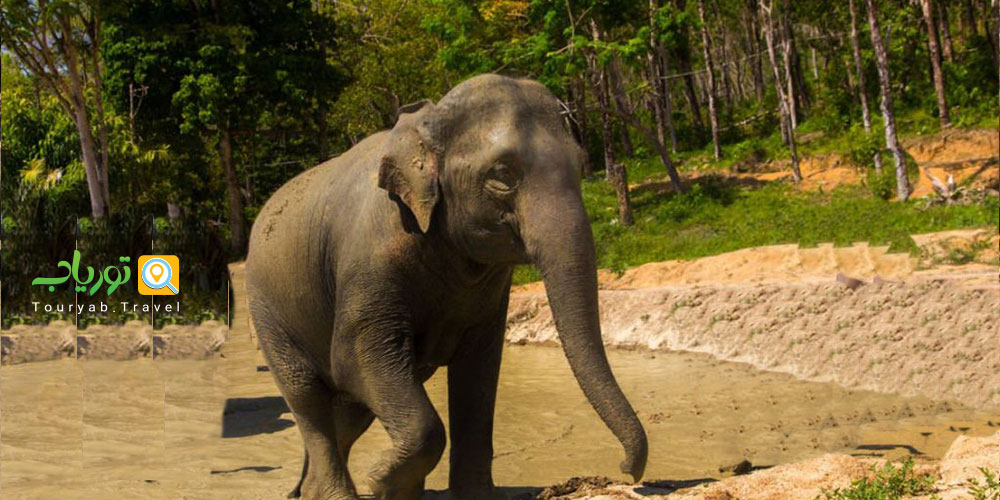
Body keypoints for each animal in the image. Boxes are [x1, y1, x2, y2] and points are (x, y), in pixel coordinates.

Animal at [245, 74, 648, 500]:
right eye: (502, 175)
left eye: (581, 164)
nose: (626, 471)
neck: (428, 119)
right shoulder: (368, 260)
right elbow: (352, 359)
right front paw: (381, 478)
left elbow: (478, 371)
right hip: (267, 311)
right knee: (307, 396)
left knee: (351, 410)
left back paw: (310, 491)